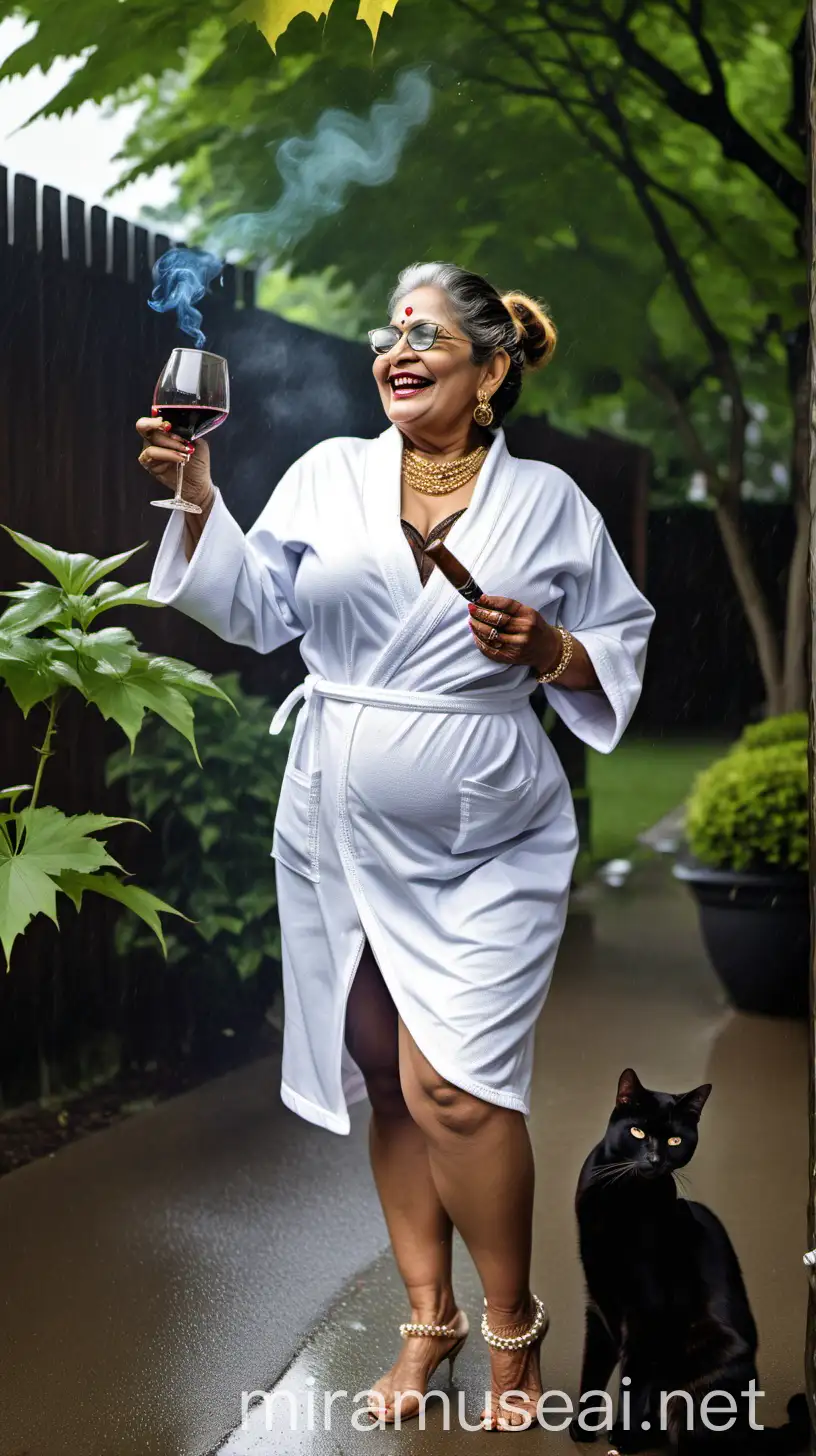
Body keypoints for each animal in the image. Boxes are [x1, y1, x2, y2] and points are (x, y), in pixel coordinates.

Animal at [568, 1065, 810, 1450]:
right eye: (638, 1131)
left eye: (675, 1142)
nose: (654, 1159)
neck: (620, 1197)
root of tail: (749, 1429)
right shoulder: (598, 1301)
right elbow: (593, 1369)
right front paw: (583, 1427)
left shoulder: (646, 1309)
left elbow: (633, 1380)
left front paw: (625, 1435)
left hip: (701, 1372)